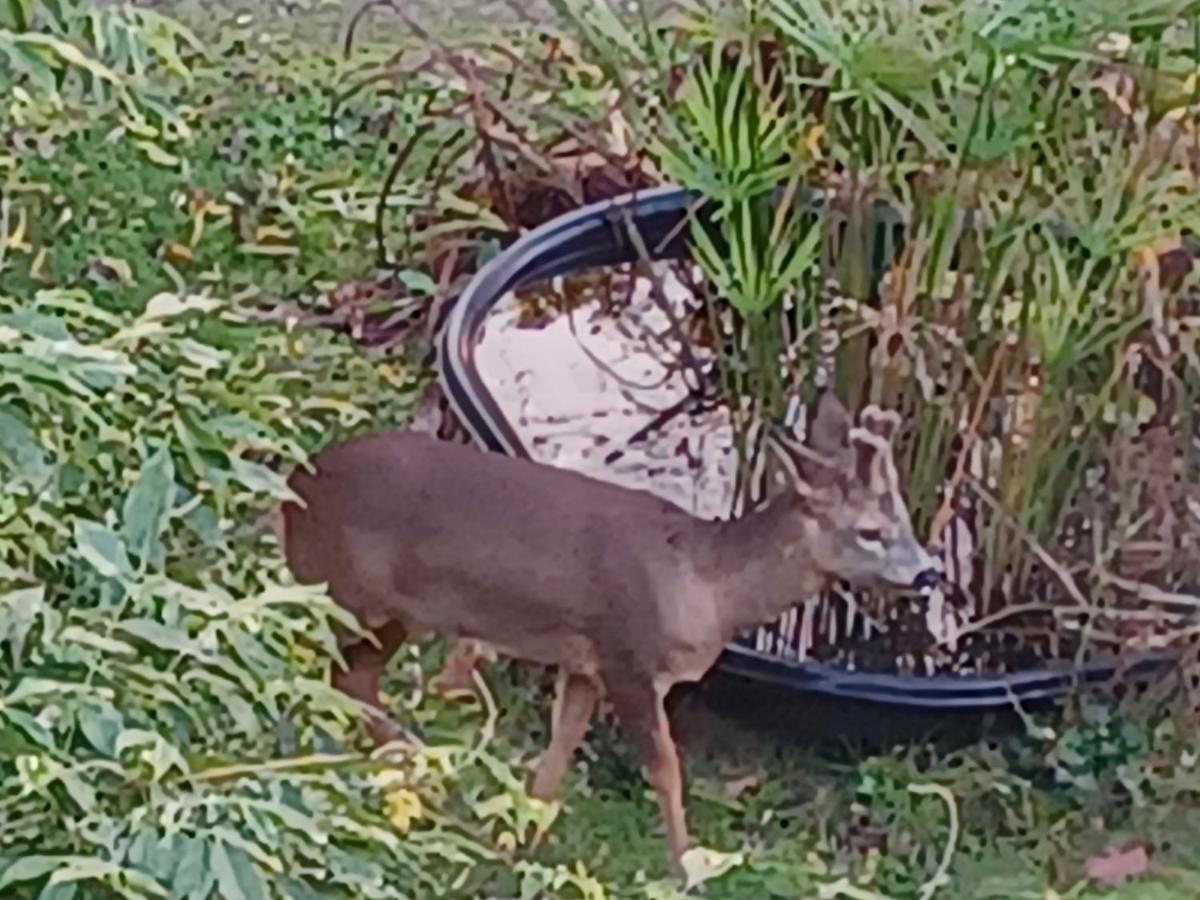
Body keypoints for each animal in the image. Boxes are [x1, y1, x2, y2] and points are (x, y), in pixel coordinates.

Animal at [276, 391, 940, 878]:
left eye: (906, 518)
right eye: (871, 531)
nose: (929, 572)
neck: (703, 584)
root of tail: (290, 493)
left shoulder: (585, 664)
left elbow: (559, 752)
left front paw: (521, 844)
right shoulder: (628, 657)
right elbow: (666, 767)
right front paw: (686, 869)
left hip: (386, 613)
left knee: (349, 680)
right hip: (353, 595)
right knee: (330, 676)